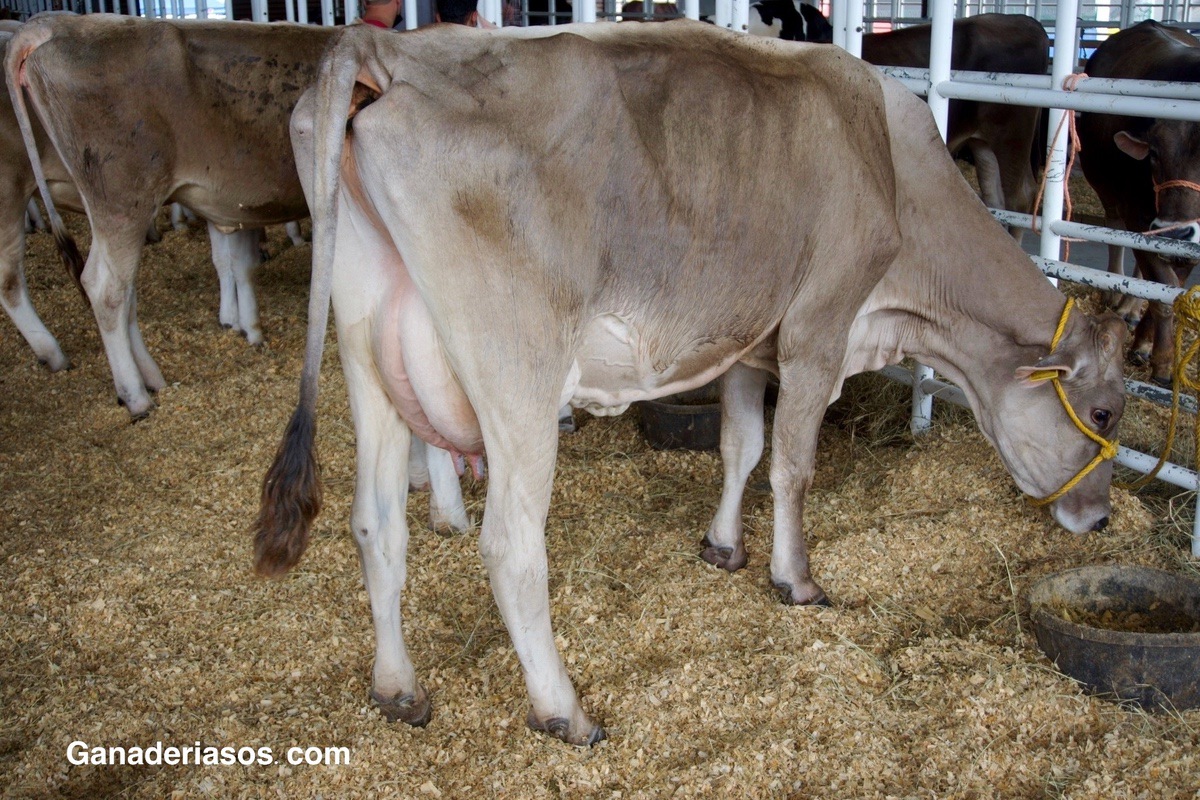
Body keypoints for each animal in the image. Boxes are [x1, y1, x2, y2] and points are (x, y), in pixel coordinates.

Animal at [5, 14, 335, 419]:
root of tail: (58, 22)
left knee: (125, 292)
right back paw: (133, 395)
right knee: (100, 288)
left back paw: (150, 377)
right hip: (118, 200)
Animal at [1075, 21, 1200, 387]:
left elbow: (1170, 287)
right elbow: (1162, 290)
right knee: (1115, 231)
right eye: (1154, 153)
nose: (1174, 232)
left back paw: (1131, 310)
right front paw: (1163, 361)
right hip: (1105, 186)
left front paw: (1147, 344)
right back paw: (1115, 295)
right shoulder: (1139, 216)